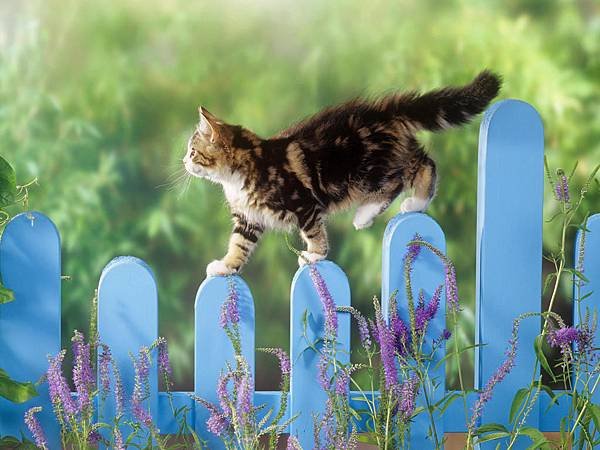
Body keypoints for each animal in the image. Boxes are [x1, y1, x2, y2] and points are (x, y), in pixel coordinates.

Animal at [184, 70, 502, 276]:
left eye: (192, 151)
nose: (184, 162)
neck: (239, 175)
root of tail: (385, 110)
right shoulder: (247, 219)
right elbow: (238, 245)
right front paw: (225, 266)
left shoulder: (303, 203)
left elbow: (313, 231)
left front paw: (315, 254)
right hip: (384, 160)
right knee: (414, 165)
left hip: (368, 169)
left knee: (416, 171)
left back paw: (411, 203)